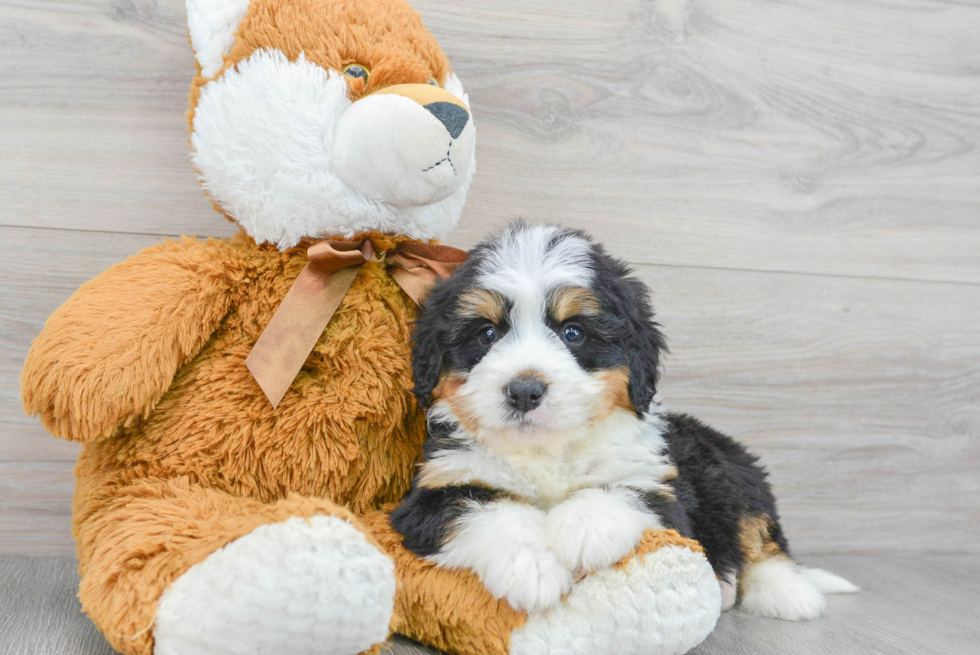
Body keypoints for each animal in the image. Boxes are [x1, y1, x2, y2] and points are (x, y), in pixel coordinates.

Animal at [390, 223, 856, 616]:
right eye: (487, 333)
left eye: (573, 332)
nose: (524, 391)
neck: (548, 446)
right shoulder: (435, 489)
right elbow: (485, 509)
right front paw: (531, 567)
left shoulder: (659, 484)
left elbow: (624, 490)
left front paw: (583, 528)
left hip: (731, 470)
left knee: (759, 535)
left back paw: (787, 591)